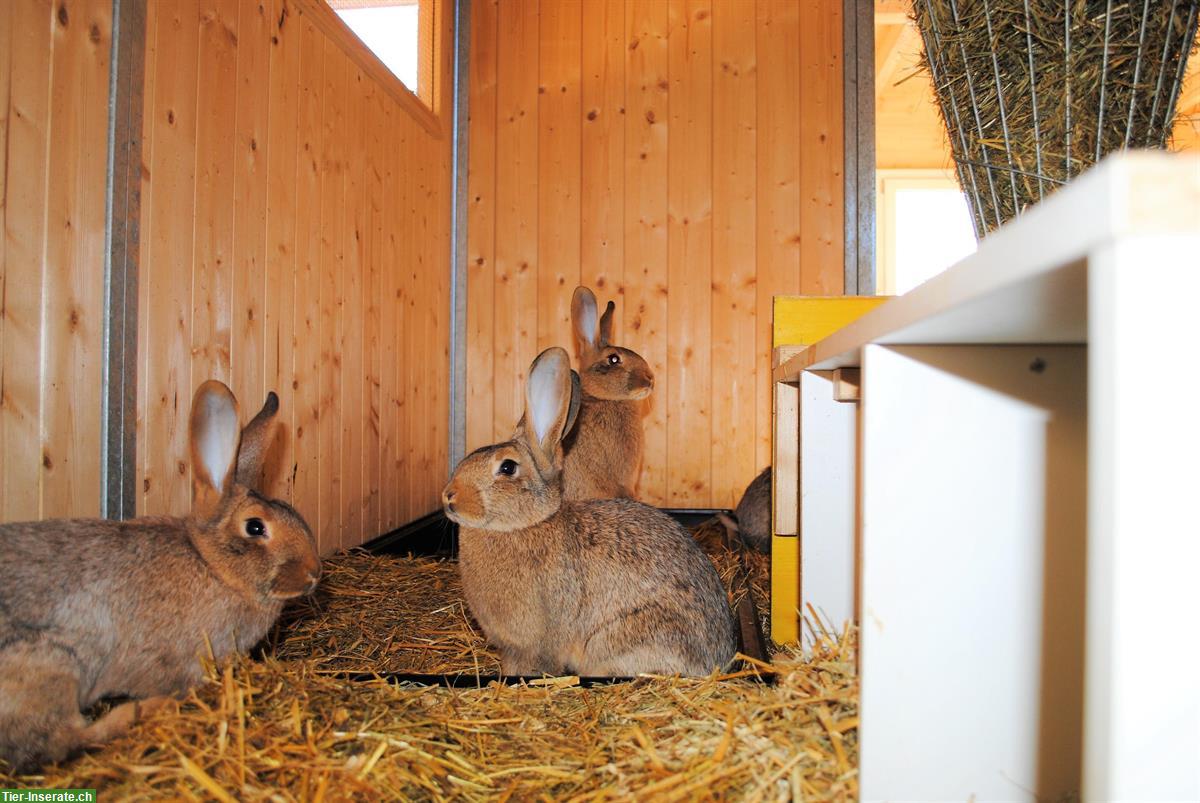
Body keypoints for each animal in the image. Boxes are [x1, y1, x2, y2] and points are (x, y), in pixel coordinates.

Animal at [0, 381, 319, 768]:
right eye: (255, 527)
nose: (314, 573)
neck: (212, 567)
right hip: (54, 665)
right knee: (57, 742)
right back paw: (145, 709)